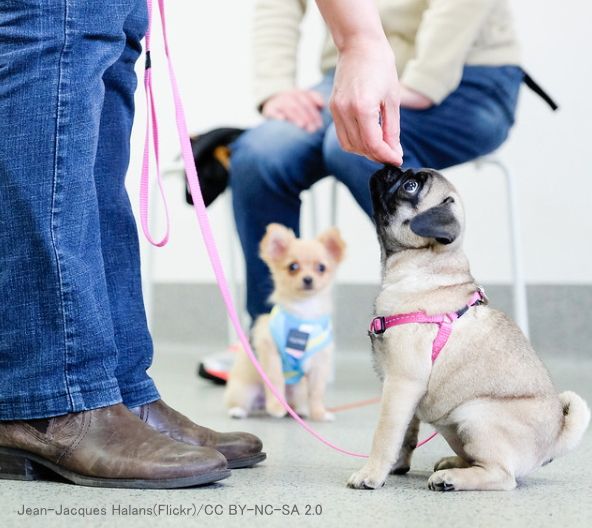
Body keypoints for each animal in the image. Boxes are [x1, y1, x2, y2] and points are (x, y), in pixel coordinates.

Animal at [225, 223, 346, 420]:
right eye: (293, 267)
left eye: (321, 268)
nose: (308, 279)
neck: (303, 314)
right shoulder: (271, 355)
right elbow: (276, 382)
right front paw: (276, 407)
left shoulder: (320, 363)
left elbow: (317, 391)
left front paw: (319, 413)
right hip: (245, 390)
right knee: (240, 402)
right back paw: (239, 410)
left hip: (299, 390)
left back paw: (300, 410)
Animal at [350, 167, 588, 492]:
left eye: (410, 186)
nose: (391, 168)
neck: (426, 263)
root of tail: (554, 441)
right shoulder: (403, 390)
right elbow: (405, 434)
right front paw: (396, 466)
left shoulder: (401, 384)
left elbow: (385, 434)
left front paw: (371, 474)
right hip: (454, 425)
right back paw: (452, 464)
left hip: (473, 414)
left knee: (503, 475)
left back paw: (450, 479)